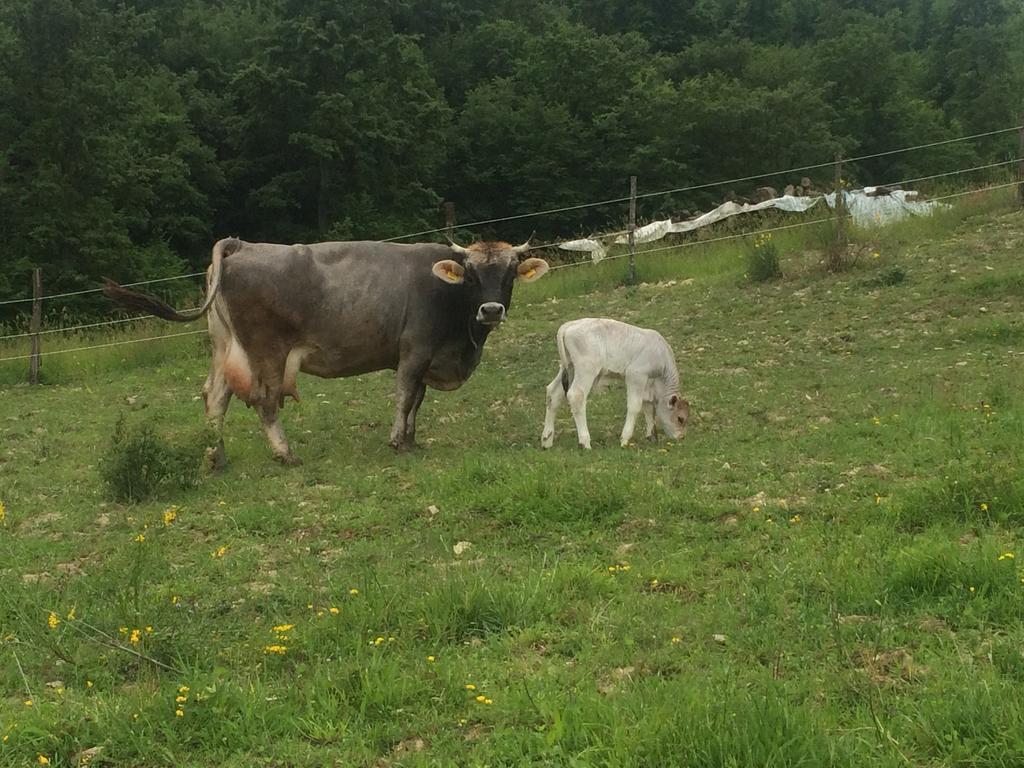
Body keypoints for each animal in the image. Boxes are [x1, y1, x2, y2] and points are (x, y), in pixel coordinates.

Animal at [540, 319, 692, 450]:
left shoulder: (647, 384)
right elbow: (635, 406)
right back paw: (585, 442)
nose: (681, 437)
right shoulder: (636, 374)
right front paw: (625, 439)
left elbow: (648, 407)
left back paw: (547, 440)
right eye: (680, 418)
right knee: (576, 395)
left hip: (567, 368)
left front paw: (651, 436)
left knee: (553, 393)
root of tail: (569, 325)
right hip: (586, 369)